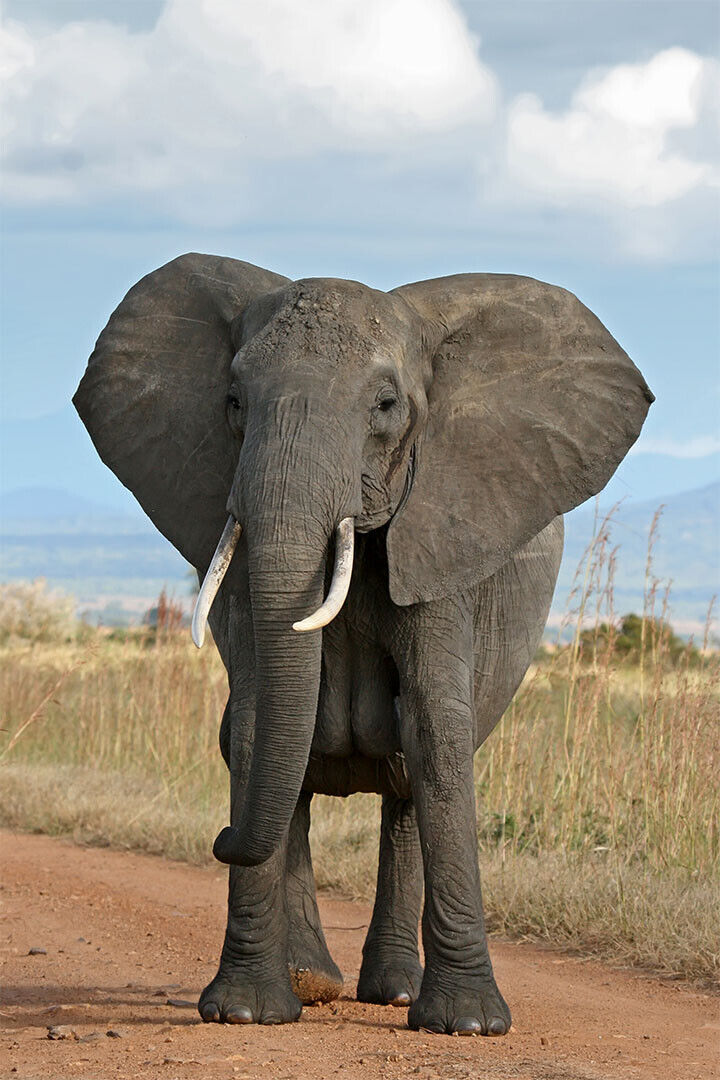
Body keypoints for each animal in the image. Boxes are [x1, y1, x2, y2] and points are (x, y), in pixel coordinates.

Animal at [74, 253, 653, 1036]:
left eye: (385, 405)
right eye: (233, 400)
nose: (219, 839)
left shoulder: (444, 529)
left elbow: (437, 727)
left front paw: (469, 1025)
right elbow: (255, 725)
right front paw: (245, 1013)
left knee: (408, 776)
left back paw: (396, 994)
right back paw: (312, 983)